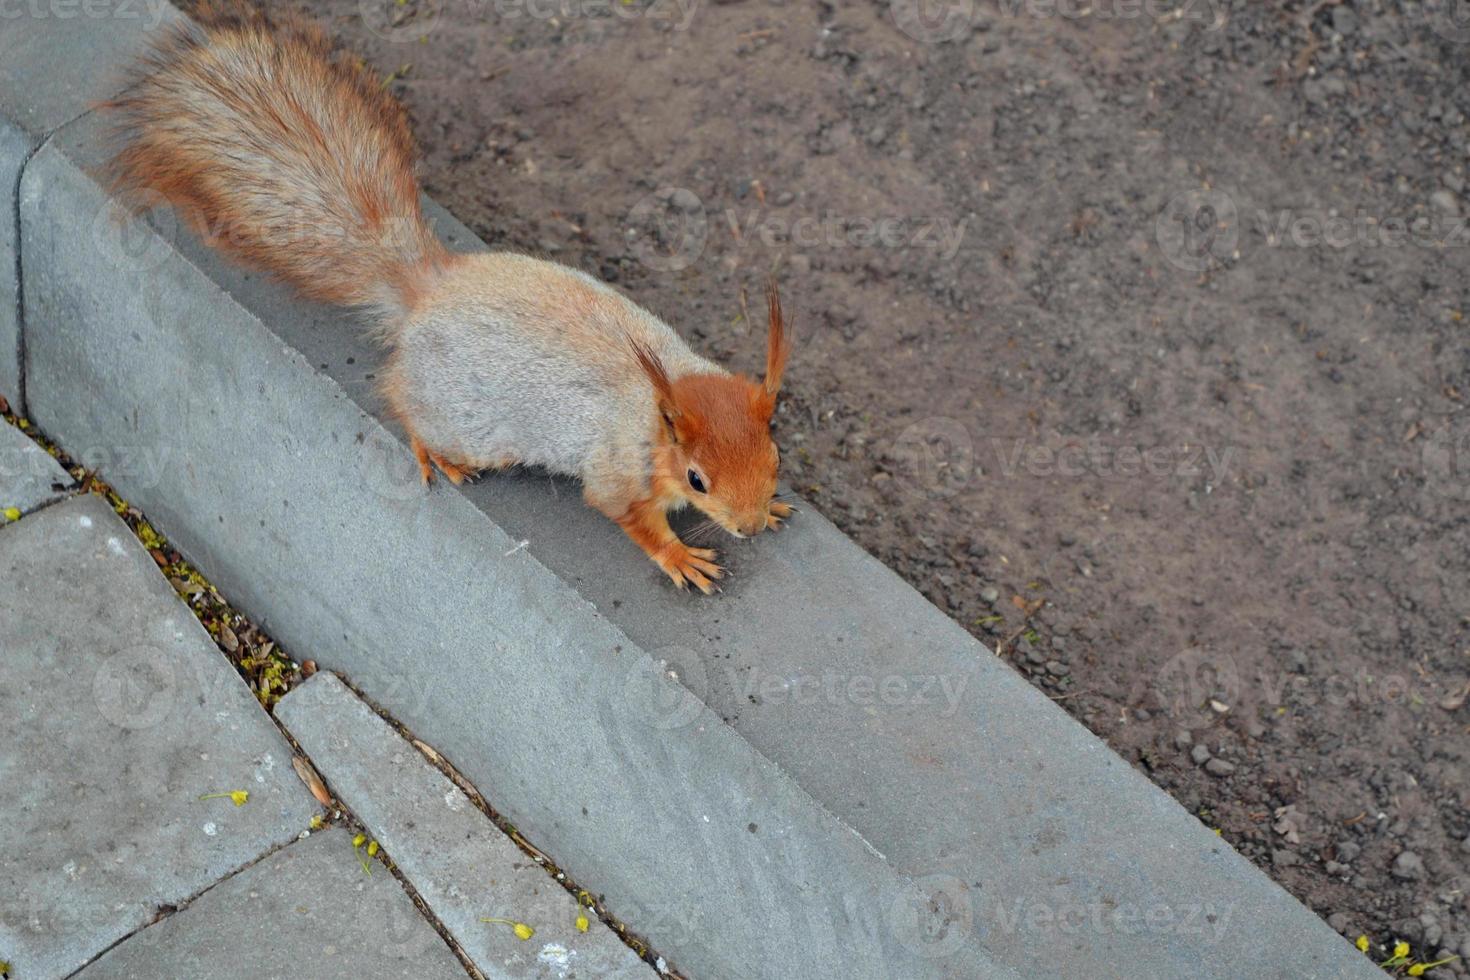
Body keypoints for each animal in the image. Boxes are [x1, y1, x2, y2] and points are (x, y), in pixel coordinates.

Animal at [106, 3, 793, 593]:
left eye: (776, 453)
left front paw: (778, 506)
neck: (661, 400)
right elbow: (626, 517)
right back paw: (436, 455)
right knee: (400, 400)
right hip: (464, 418)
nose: (750, 527)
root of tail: (428, 291)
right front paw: (680, 557)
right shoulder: (618, 471)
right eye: (697, 479)